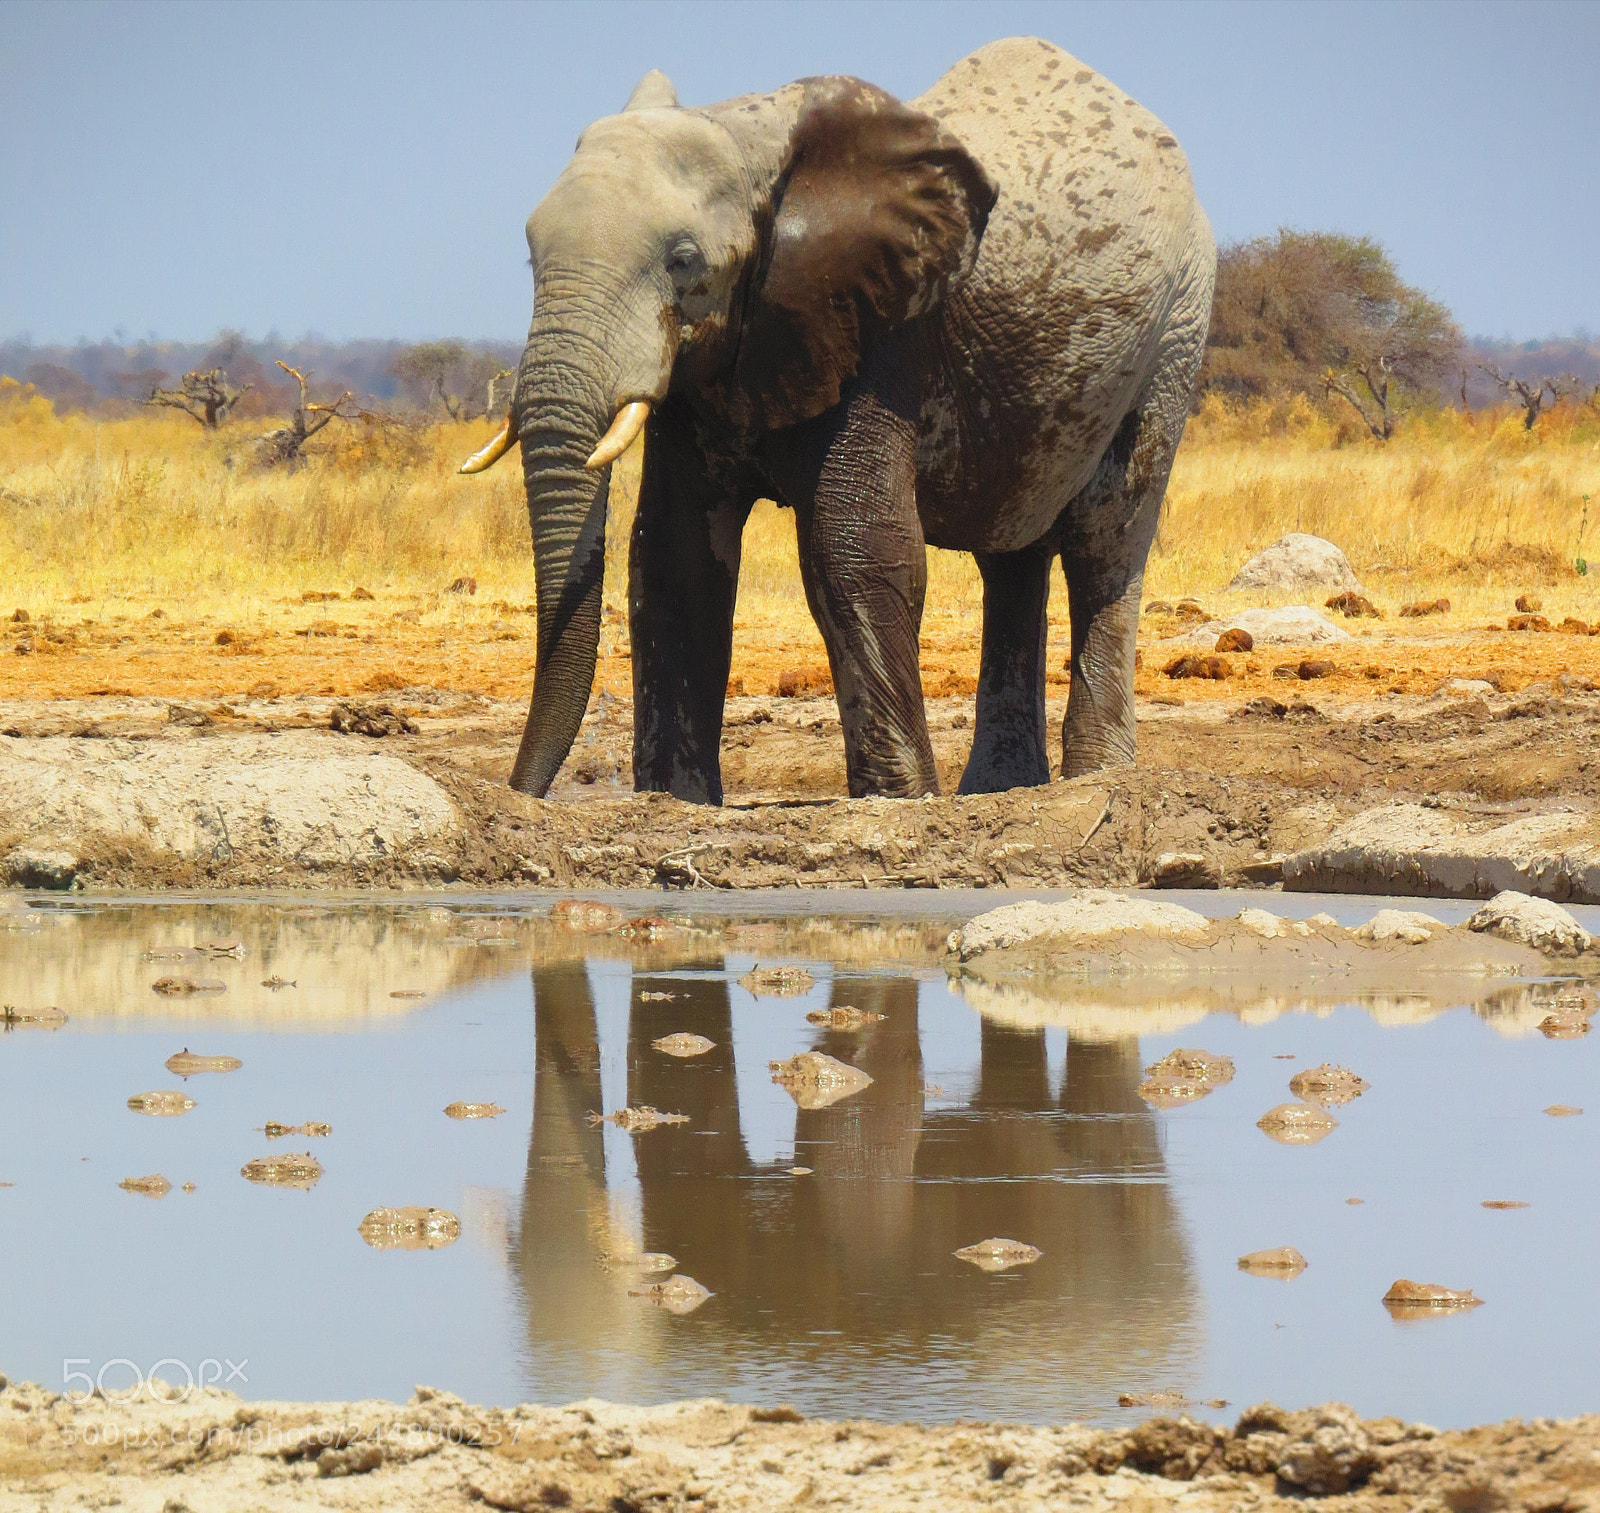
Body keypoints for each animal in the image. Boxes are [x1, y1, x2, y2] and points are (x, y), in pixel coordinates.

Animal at [461, 36, 1214, 802]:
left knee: (1106, 540)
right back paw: (1001, 789)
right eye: (530, 254)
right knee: (1011, 554)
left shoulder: (878, 330)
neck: (749, 140)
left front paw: (900, 797)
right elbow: (674, 555)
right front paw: (677, 799)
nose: (521, 791)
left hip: (1176, 331)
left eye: (683, 260)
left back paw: (1093, 779)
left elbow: (852, 544)